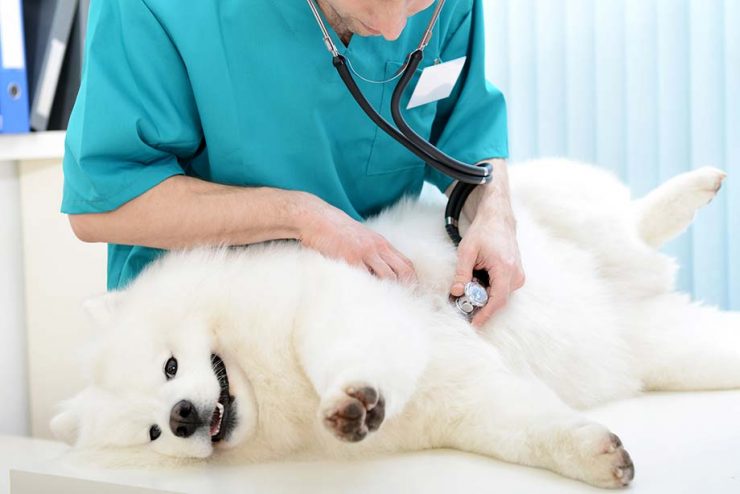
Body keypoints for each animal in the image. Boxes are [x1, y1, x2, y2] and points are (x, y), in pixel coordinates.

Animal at [49, 160, 736, 488]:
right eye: (152, 434)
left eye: (169, 366)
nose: (182, 416)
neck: (265, 381)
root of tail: (635, 291)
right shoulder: (460, 406)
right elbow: (527, 428)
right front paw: (596, 456)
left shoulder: (342, 301)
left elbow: (343, 347)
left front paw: (349, 399)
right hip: (664, 349)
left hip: (545, 205)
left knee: (629, 219)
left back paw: (695, 188)